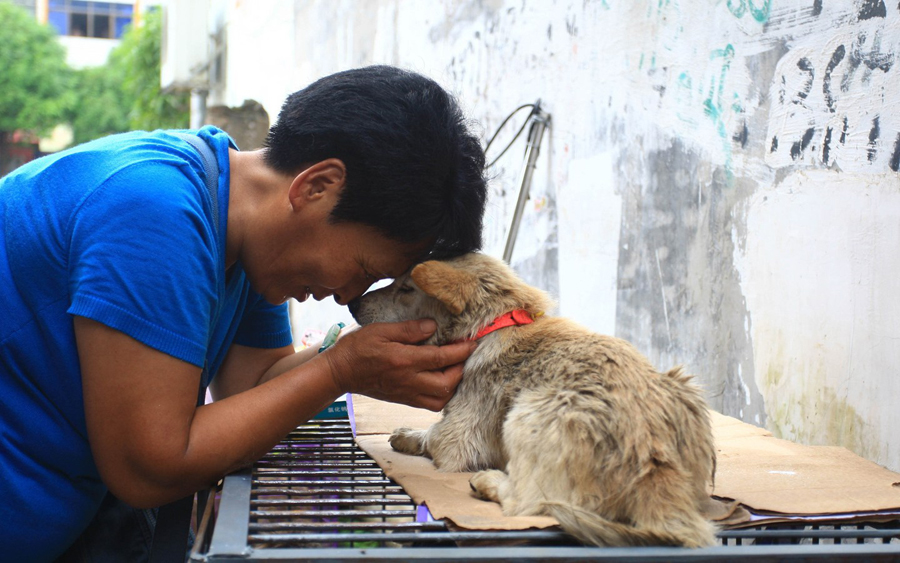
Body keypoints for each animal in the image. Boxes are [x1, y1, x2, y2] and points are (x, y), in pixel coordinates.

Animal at [350, 253, 716, 548]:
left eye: (406, 288)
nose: (352, 303)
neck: (493, 324)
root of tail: (654, 459)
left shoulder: (458, 440)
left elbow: (433, 436)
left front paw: (410, 437)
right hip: (685, 384)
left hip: (529, 410)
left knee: (526, 503)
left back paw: (489, 482)